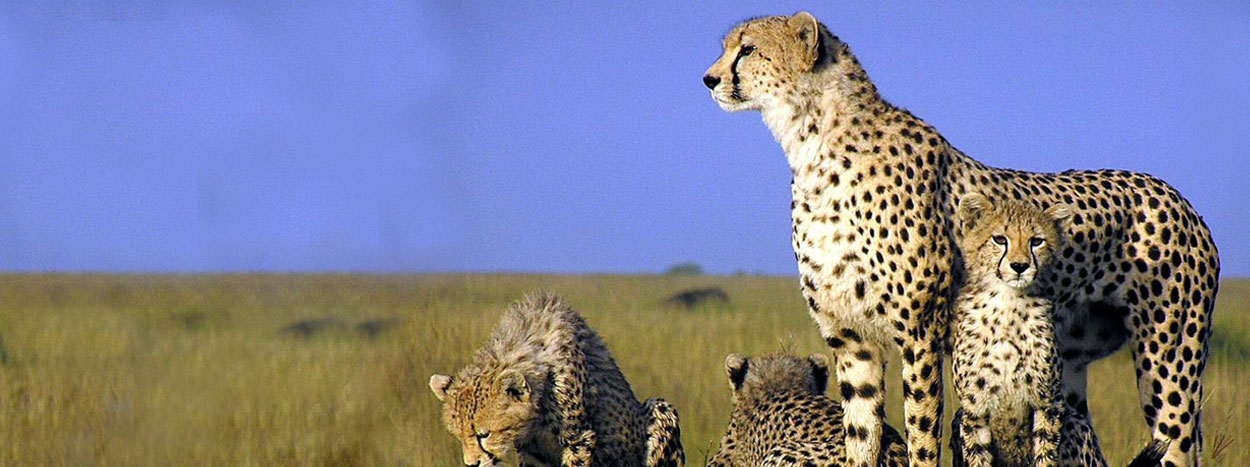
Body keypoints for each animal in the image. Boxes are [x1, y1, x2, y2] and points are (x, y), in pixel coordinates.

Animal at [429, 293, 684, 467]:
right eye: (459, 436)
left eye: (485, 434)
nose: (472, 464)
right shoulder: (532, 450)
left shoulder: (579, 438)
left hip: (659, 408)